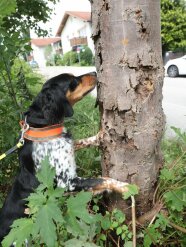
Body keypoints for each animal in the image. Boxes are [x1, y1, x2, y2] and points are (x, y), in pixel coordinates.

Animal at [0, 72, 128, 243]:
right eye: (73, 81)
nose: (95, 73)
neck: (44, 126)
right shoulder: (67, 183)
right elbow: (103, 179)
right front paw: (126, 186)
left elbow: (80, 142)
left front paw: (100, 135)